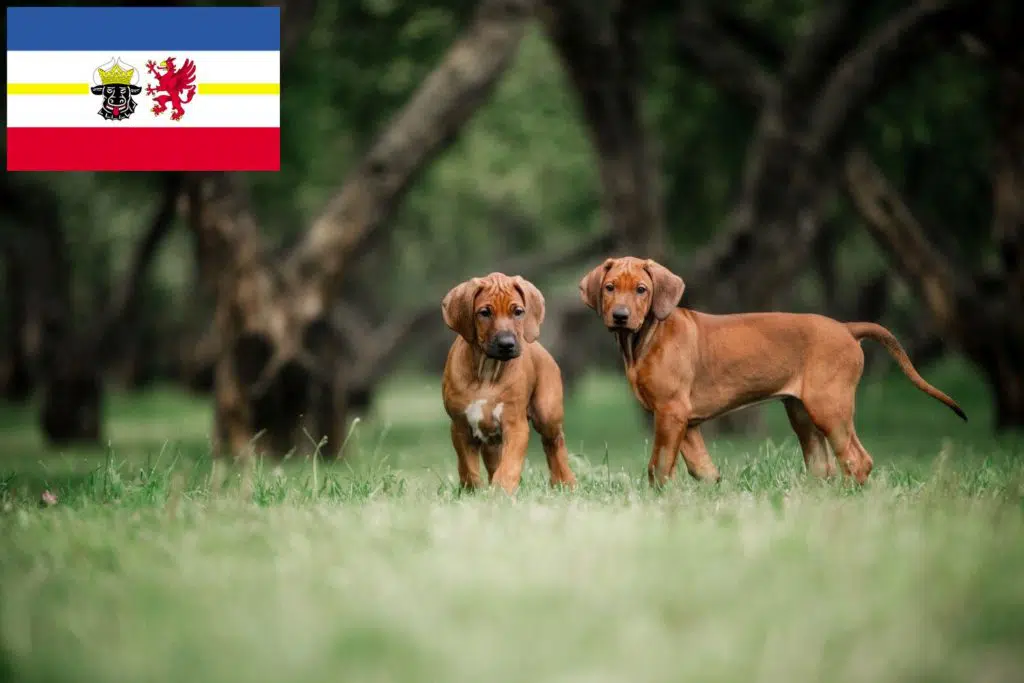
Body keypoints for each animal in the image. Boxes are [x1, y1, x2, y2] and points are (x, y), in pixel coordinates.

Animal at [440, 270, 577, 491]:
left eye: (518, 312)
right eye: (485, 312)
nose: (507, 344)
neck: (487, 371)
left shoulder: (515, 425)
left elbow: (510, 464)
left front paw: (501, 491)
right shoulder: (460, 427)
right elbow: (468, 467)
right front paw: (473, 491)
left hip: (547, 412)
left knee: (554, 443)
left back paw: (564, 481)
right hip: (491, 440)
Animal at [581, 254, 962, 485]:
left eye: (642, 290)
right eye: (609, 288)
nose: (620, 316)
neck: (645, 337)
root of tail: (846, 327)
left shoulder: (671, 411)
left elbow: (658, 466)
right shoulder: (683, 420)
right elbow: (701, 467)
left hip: (829, 407)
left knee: (857, 459)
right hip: (802, 412)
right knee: (821, 465)